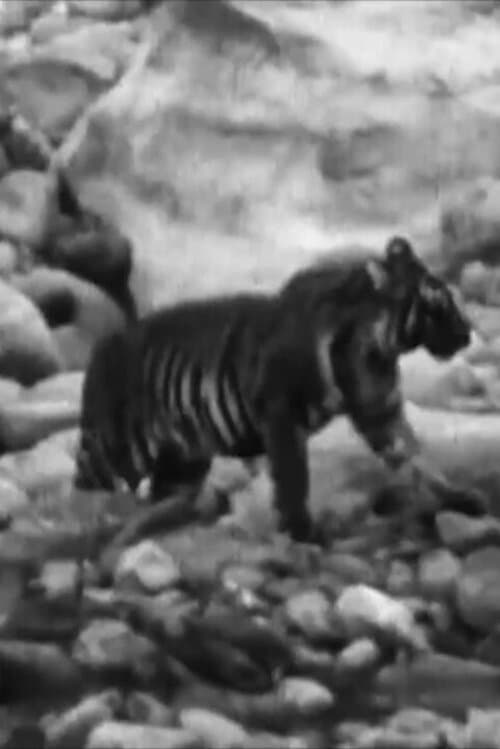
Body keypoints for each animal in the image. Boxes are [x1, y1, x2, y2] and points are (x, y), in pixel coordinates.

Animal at [73, 236, 486, 543]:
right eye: (438, 301)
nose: (467, 332)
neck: (377, 348)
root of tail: (102, 347)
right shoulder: (282, 415)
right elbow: (293, 478)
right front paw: (303, 531)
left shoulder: (381, 411)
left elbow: (419, 457)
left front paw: (462, 499)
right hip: (116, 451)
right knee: (86, 485)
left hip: (183, 460)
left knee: (162, 497)